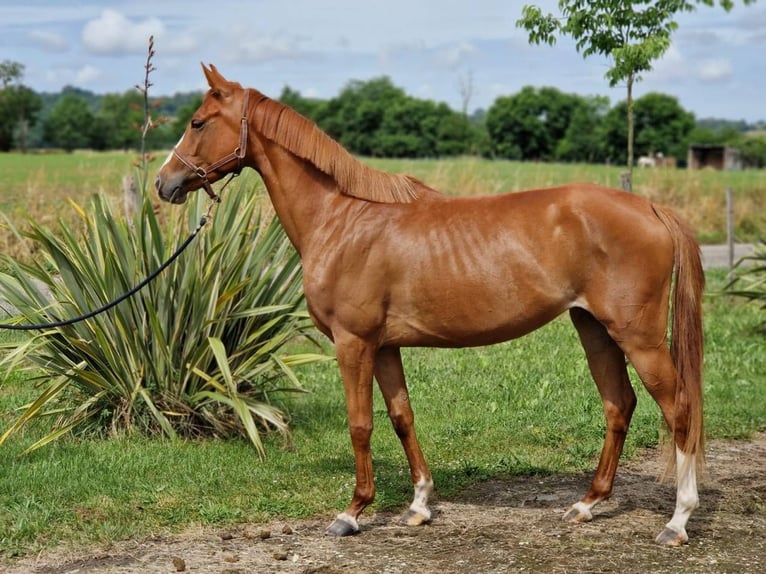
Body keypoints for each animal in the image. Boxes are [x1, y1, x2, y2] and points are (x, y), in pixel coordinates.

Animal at [155, 64, 705, 547]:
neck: (342, 218)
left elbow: (360, 424)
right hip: (593, 328)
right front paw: (419, 506)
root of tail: (652, 207)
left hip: (637, 336)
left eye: (198, 122)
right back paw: (587, 504)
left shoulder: (353, 343)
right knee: (620, 405)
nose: (165, 183)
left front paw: (351, 513)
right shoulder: (383, 347)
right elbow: (402, 416)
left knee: (678, 407)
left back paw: (677, 521)